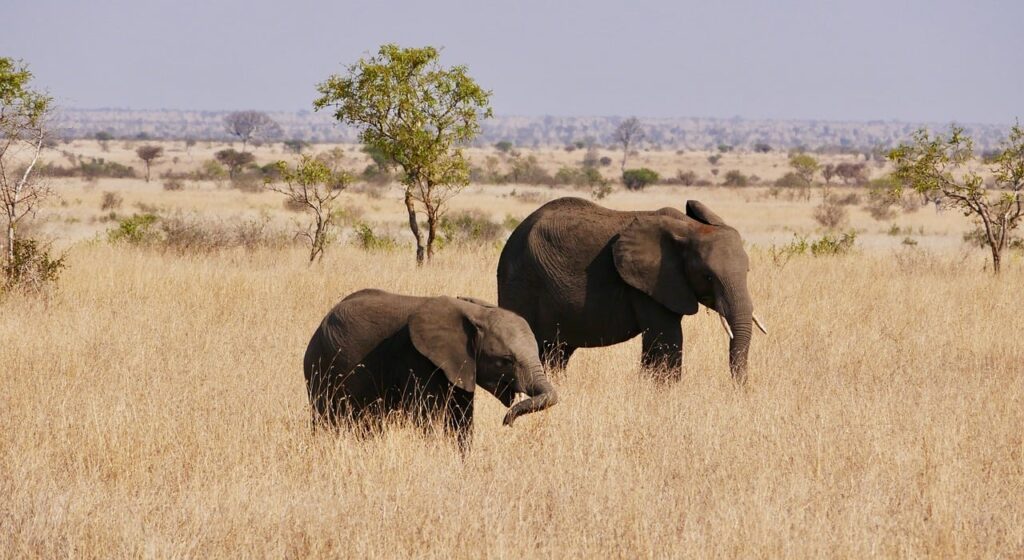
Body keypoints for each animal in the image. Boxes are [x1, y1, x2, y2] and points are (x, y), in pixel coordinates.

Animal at [303, 288, 561, 446]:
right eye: (505, 361)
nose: (507, 422)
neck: (474, 312)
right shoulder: (416, 359)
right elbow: (427, 417)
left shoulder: (460, 365)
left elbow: (461, 420)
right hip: (322, 367)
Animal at [495, 196, 770, 380]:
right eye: (708, 276)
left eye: (747, 271)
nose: (741, 389)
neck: (688, 228)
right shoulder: (648, 283)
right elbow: (666, 337)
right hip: (520, 282)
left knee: (557, 352)